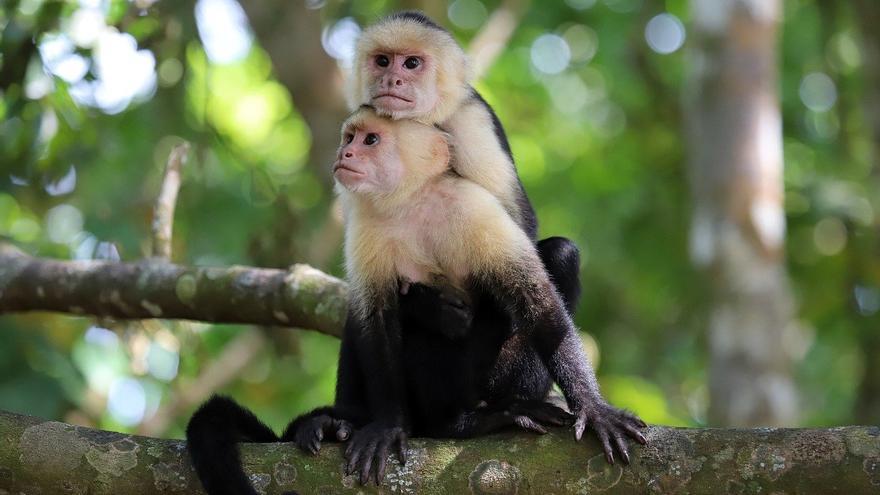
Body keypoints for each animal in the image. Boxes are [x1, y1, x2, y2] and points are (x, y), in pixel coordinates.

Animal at [187, 107, 648, 492]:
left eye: (370, 140)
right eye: (350, 137)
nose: (345, 152)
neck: (412, 201)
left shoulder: (474, 207)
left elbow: (537, 301)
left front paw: (594, 407)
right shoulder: (365, 226)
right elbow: (375, 319)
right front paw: (389, 425)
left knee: (558, 256)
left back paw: (489, 413)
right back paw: (387, 422)